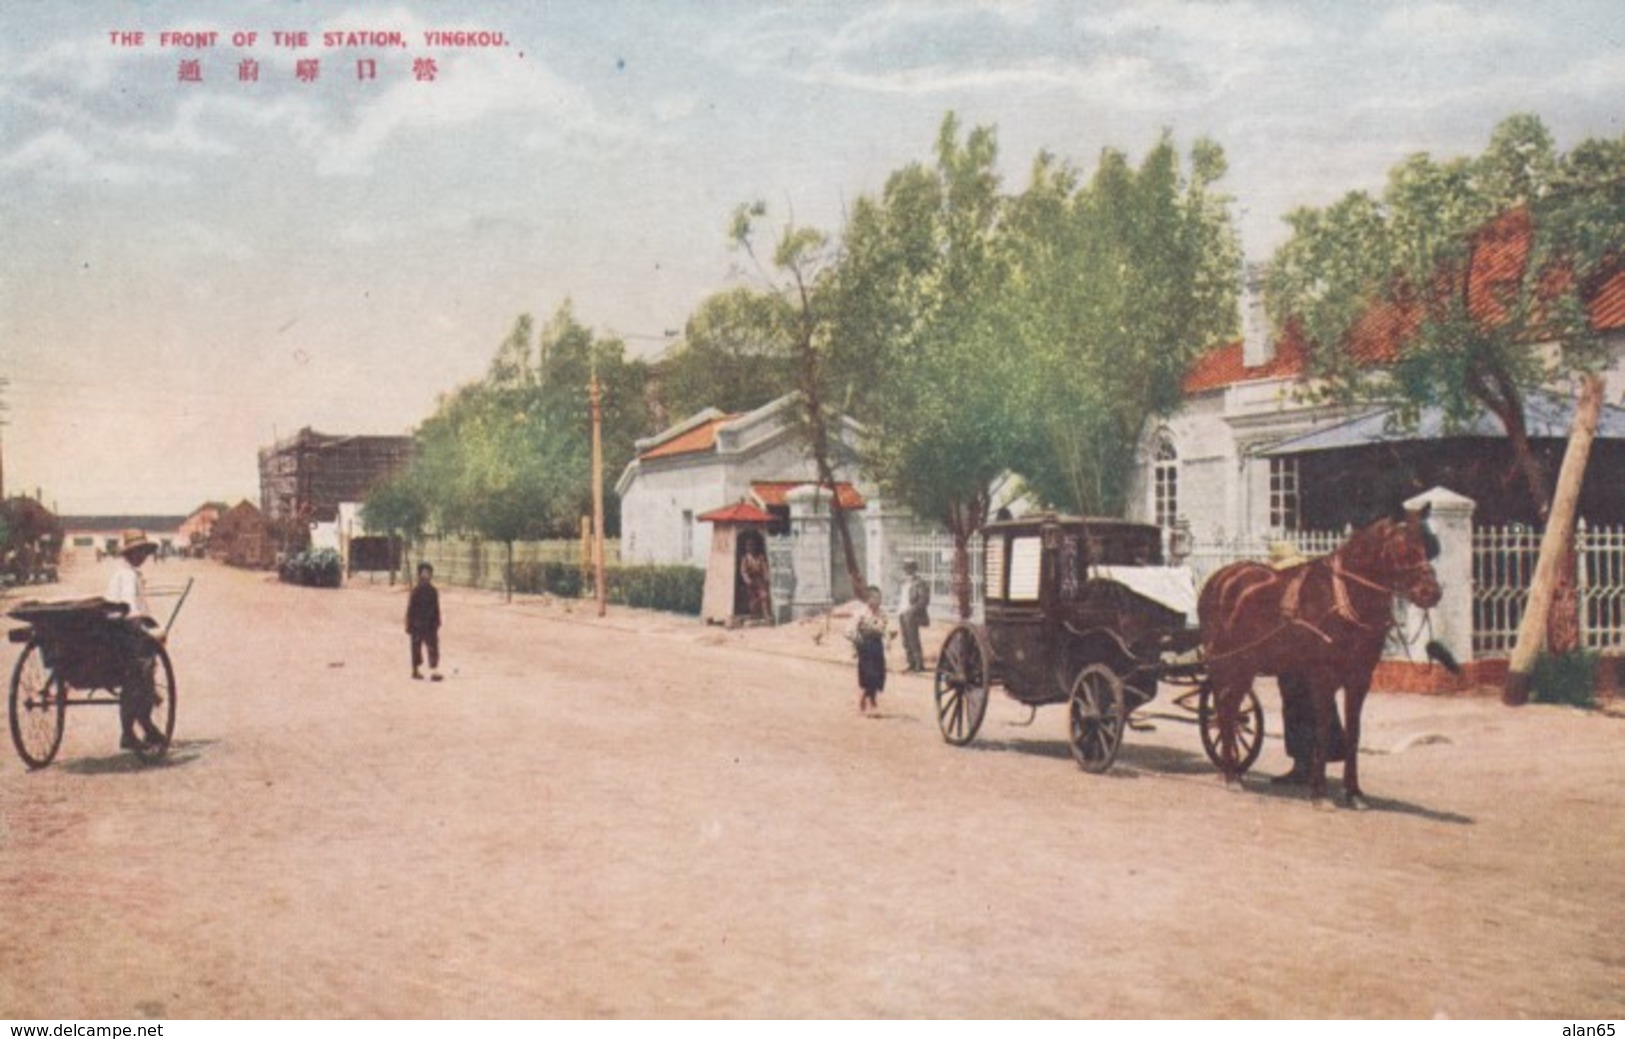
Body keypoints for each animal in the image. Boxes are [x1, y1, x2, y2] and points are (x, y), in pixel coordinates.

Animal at [1202, 507, 1443, 809]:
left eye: (1426, 545)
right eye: (1401, 547)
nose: (1431, 593)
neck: (1342, 597)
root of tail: (1220, 577)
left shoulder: (1360, 678)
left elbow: (1353, 733)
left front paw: (1354, 792)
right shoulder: (1322, 675)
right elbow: (1323, 730)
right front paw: (1319, 792)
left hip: (1246, 666)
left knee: (1230, 709)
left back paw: (1232, 769)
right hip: (1228, 663)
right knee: (1224, 710)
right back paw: (1231, 775)